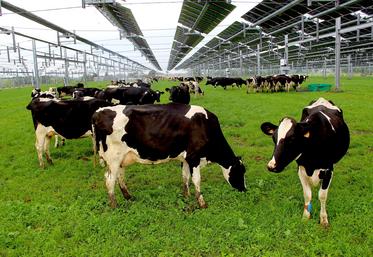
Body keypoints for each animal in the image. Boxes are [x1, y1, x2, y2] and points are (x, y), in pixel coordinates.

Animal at [91, 103, 246, 208]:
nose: (244, 189)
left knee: (120, 177)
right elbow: (197, 180)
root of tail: (99, 112)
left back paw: (129, 197)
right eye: (241, 171)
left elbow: (185, 177)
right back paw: (114, 205)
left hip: (121, 158)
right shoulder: (194, 157)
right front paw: (202, 203)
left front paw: (186, 196)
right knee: (109, 180)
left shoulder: (186, 158)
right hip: (113, 158)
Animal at [258, 97, 348, 226]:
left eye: (292, 138)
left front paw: (324, 219)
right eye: (274, 138)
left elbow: (322, 195)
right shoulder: (301, 168)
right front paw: (305, 217)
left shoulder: (329, 169)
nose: (271, 166)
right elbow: (307, 195)